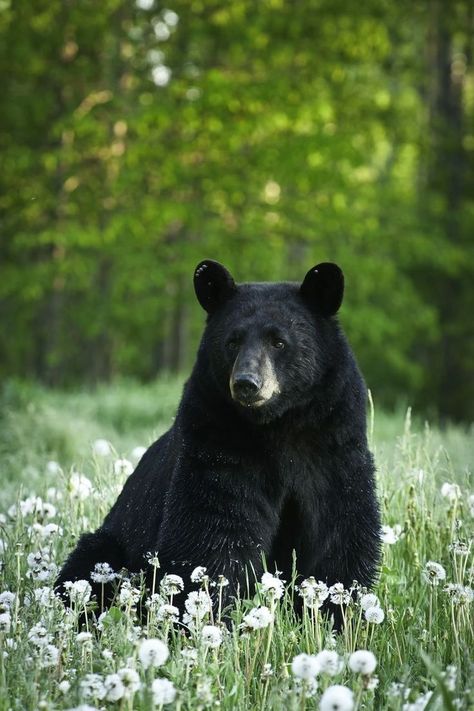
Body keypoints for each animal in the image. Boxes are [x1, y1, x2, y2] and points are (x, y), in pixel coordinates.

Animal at [56, 262, 382, 616]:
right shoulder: (217, 443)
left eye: (279, 342)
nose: (246, 383)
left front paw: (339, 613)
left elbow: (338, 530)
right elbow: (215, 529)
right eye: (232, 341)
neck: (278, 425)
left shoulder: (333, 445)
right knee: (89, 567)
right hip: (112, 545)